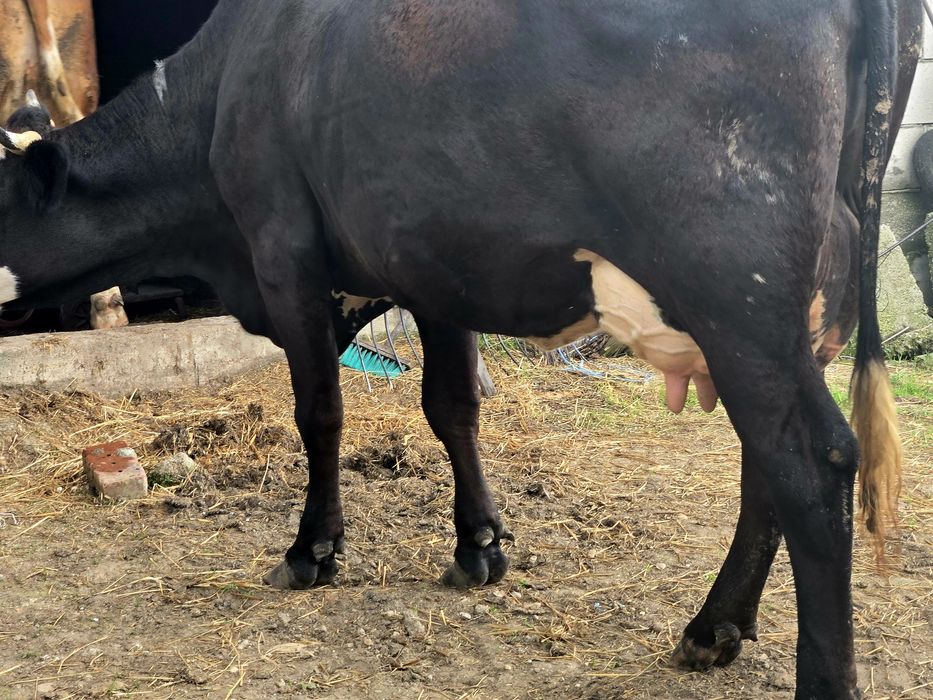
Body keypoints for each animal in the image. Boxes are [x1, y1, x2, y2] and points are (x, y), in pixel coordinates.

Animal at [0, 2, 921, 697]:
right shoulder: (432, 265)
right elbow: (452, 408)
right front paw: (479, 544)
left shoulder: (284, 254)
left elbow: (320, 414)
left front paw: (312, 551)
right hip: (789, 315)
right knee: (765, 464)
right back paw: (712, 628)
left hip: (734, 288)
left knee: (810, 463)